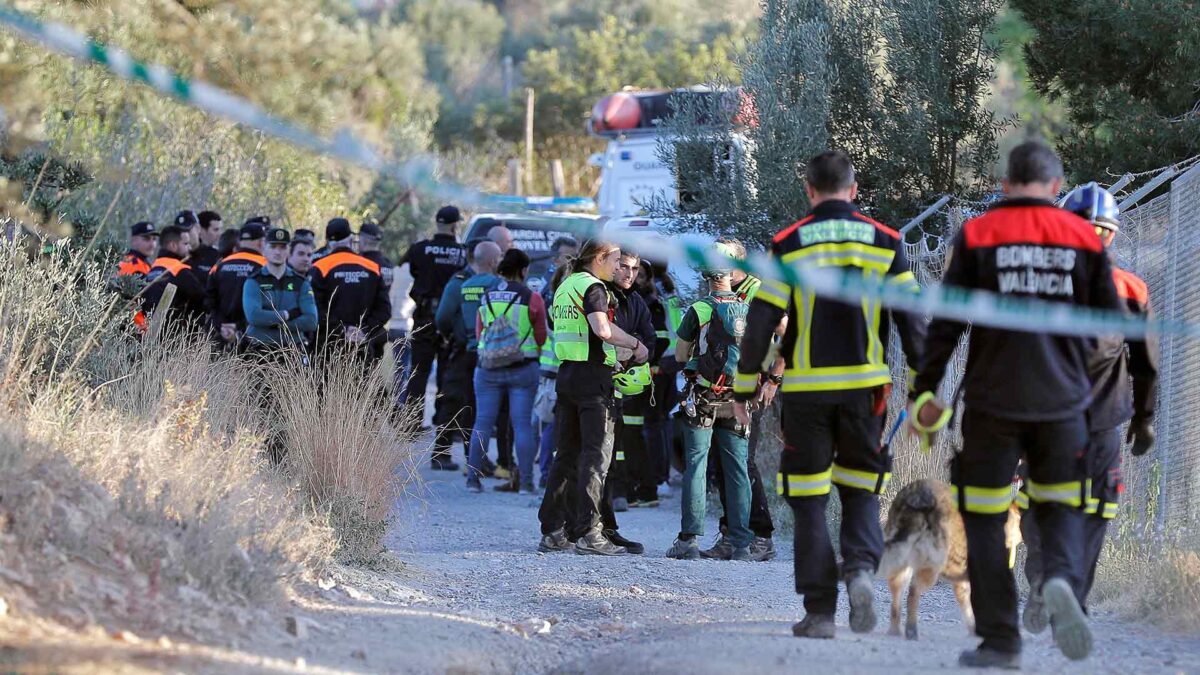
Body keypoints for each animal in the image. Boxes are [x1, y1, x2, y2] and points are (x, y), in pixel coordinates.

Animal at [878, 475, 1017, 638]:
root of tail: (918, 495)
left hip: (903, 563)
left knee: (896, 600)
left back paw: (895, 631)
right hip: (931, 566)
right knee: (913, 594)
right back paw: (911, 631)